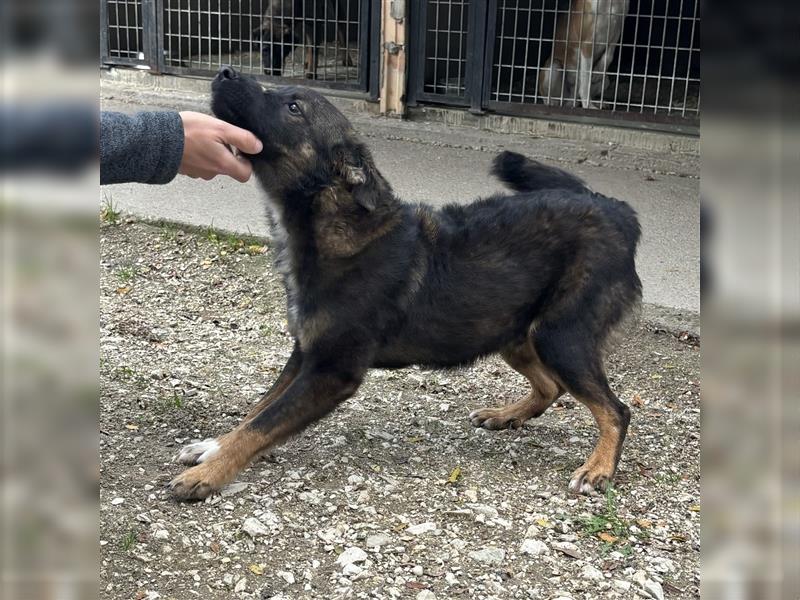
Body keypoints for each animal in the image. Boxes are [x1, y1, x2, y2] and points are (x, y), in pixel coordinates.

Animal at [170, 65, 644, 502]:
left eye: (293, 107)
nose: (225, 72)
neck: (333, 227)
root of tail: (615, 208)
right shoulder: (304, 352)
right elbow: (258, 409)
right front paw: (213, 447)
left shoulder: (330, 370)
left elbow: (264, 422)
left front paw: (208, 474)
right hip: (510, 330)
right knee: (551, 386)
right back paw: (507, 414)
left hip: (559, 335)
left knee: (615, 410)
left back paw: (598, 468)